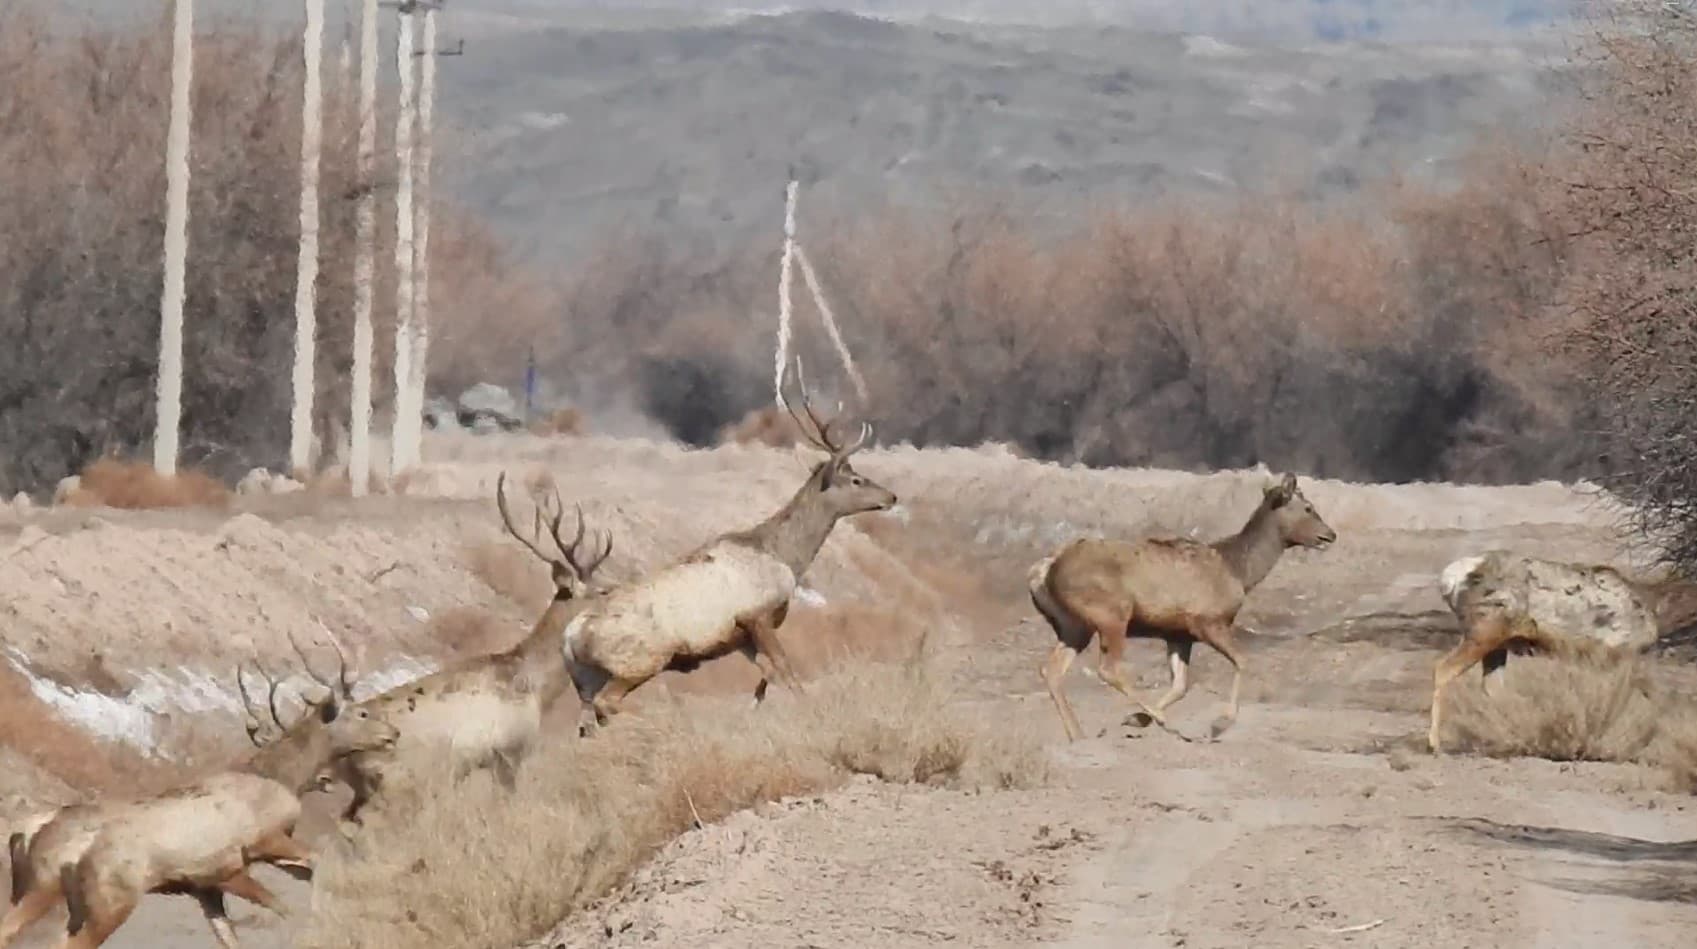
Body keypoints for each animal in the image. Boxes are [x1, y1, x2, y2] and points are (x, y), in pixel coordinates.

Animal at [0, 635, 397, 948]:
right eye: (361, 713)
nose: (392, 733)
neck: (279, 779)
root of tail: (26, 832)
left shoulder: (209, 884)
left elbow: (233, 934)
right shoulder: (256, 847)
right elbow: (301, 884)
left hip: (43, 893)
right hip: (101, 900)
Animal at [561, 361, 897, 727]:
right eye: (856, 480)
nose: (891, 497)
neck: (783, 557)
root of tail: (571, 638)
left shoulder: (742, 636)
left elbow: (767, 679)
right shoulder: (757, 614)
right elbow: (787, 673)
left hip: (587, 678)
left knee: (587, 719)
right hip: (640, 659)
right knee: (606, 703)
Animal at [1029, 472, 1337, 743]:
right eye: (1308, 507)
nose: (1330, 535)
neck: (1239, 572)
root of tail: (1043, 571)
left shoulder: (1177, 634)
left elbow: (1181, 686)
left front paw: (1136, 719)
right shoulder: (1206, 620)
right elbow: (1242, 660)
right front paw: (1220, 723)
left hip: (1074, 626)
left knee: (1052, 670)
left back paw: (1080, 735)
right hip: (1112, 614)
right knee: (1108, 668)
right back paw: (1157, 720)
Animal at [1427, 550, 1697, 753]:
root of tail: (1450, 579)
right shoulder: (1625, 656)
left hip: (1497, 645)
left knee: (1492, 688)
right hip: (1484, 632)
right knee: (1442, 669)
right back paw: (1435, 744)